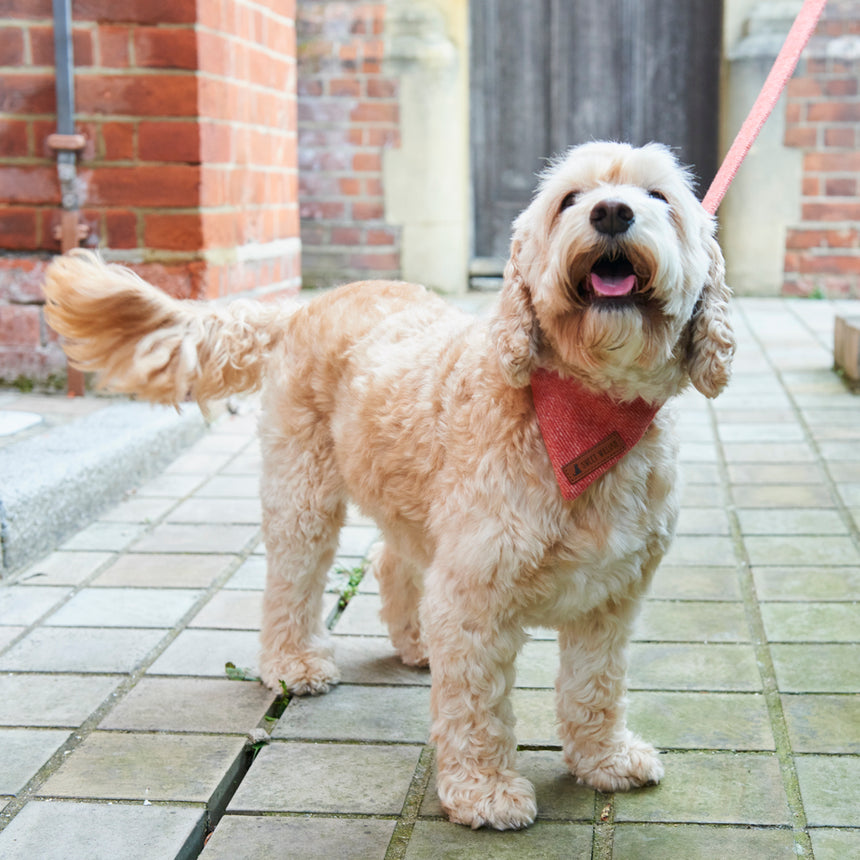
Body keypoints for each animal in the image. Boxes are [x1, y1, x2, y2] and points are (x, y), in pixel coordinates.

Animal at [43, 141, 732, 828]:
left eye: (659, 197)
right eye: (569, 199)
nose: (612, 212)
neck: (585, 417)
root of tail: (306, 304)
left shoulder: (609, 600)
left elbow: (596, 687)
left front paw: (603, 759)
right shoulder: (474, 594)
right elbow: (476, 707)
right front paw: (483, 790)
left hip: (413, 500)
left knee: (391, 561)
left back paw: (416, 641)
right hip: (304, 495)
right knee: (291, 582)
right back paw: (294, 662)